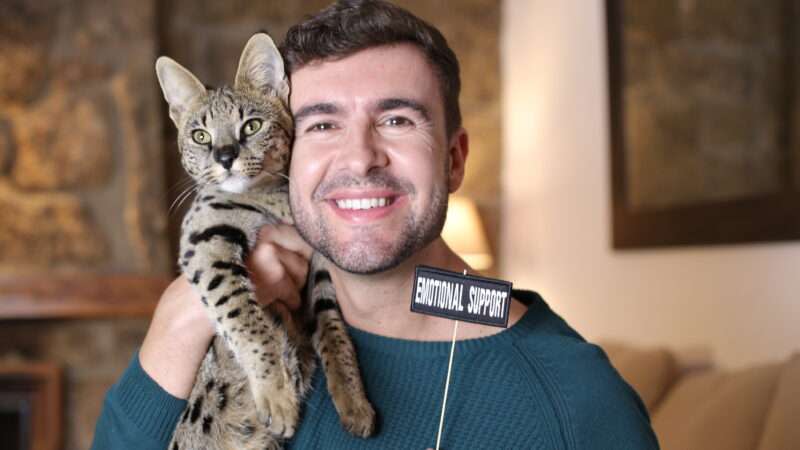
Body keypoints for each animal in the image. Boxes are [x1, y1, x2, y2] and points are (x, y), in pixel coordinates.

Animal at [157, 32, 378, 450]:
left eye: (252, 126)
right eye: (200, 136)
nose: (225, 156)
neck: (275, 201)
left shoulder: (321, 264)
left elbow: (333, 328)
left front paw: (353, 400)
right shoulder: (204, 239)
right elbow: (245, 317)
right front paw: (276, 394)